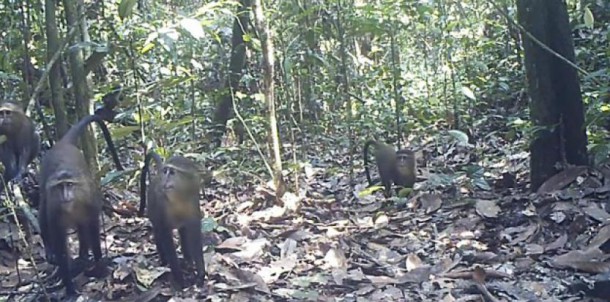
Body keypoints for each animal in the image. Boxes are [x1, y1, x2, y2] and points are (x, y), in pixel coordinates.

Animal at [37, 110, 122, 294]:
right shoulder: (54, 210)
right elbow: (60, 246)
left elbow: (94, 231)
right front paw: (69, 287)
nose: (65, 194)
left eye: (69, 185)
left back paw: (83, 254)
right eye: (60, 186)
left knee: (83, 228)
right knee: (42, 213)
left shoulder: (89, 203)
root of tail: (62, 144)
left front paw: (100, 267)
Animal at [139, 151, 205, 288]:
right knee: (158, 233)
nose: (164, 179)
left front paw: (200, 274)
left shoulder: (193, 201)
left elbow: (194, 234)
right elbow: (165, 235)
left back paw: (188, 262)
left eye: (172, 172)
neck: (179, 197)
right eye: (166, 171)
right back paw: (165, 260)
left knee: (183, 232)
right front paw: (179, 278)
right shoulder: (160, 204)